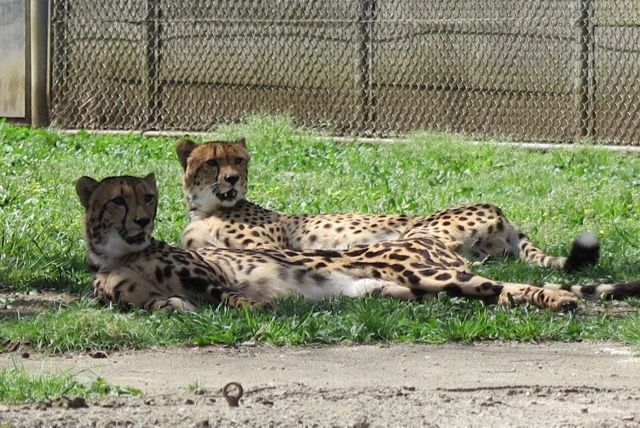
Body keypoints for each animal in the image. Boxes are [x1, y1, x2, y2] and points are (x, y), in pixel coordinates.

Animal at [76, 172, 636, 312]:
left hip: (430, 270)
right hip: (423, 286)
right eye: (118, 200)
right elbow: (161, 303)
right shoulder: (136, 298)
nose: (143, 219)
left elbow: (229, 295)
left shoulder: (212, 272)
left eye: (146, 197)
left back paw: (562, 299)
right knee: (497, 291)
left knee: (510, 286)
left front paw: (256, 306)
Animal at [176, 138, 600, 270]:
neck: (207, 209)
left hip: (415, 230)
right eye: (213, 162)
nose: (232, 179)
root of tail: (501, 212)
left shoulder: (268, 245)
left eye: (239, 160)